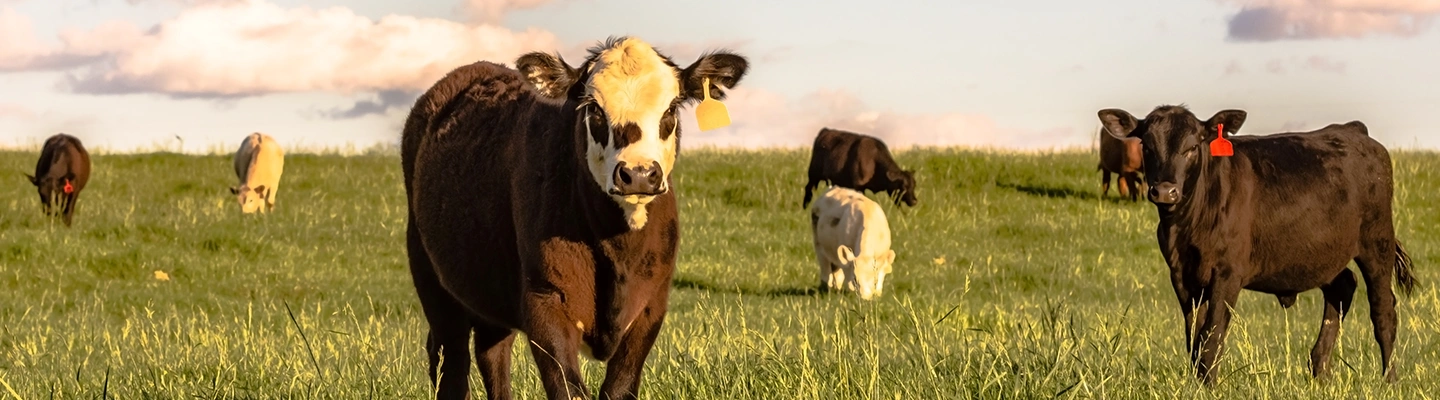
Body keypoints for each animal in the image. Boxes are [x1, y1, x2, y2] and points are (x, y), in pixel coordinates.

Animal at [401, 37, 747, 400]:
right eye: (593, 108)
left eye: (670, 110)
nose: (638, 174)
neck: (618, 250)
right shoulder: (545, 302)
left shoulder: (651, 306)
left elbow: (620, 387)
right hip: (430, 276)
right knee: (450, 359)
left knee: (491, 351)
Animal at [1097, 105, 1417, 385]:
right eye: (1147, 147)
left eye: (1192, 147)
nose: (1165, 191)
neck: (1186, 225)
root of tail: (1353, 129)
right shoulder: (1182, 276)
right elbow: (1195, 336)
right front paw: (1198, 382)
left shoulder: (1227, 273)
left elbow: (1213, 332)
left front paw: (1208, 384)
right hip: (1323, 253)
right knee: (1342, 288)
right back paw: (1319, 370)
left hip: (1377, 242)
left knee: (1383, 311)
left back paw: (1389, 380)